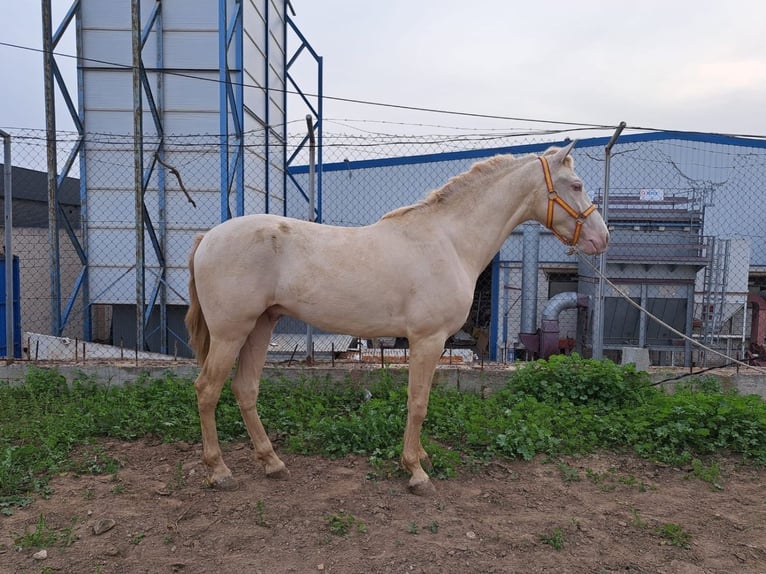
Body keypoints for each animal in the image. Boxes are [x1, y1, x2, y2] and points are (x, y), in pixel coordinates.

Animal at [188, 143, 612, 496]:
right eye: (575, 185)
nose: (602, 238)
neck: (449, 241)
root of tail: (208, 237)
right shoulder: (428, 339)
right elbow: (418, 402)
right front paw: (416, 472)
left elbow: (420, 401)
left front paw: (421, 457)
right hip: (231, 332)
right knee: (207, 390)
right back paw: (220, 471)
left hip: (260, 325)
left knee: (245, 389)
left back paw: (272, 463)